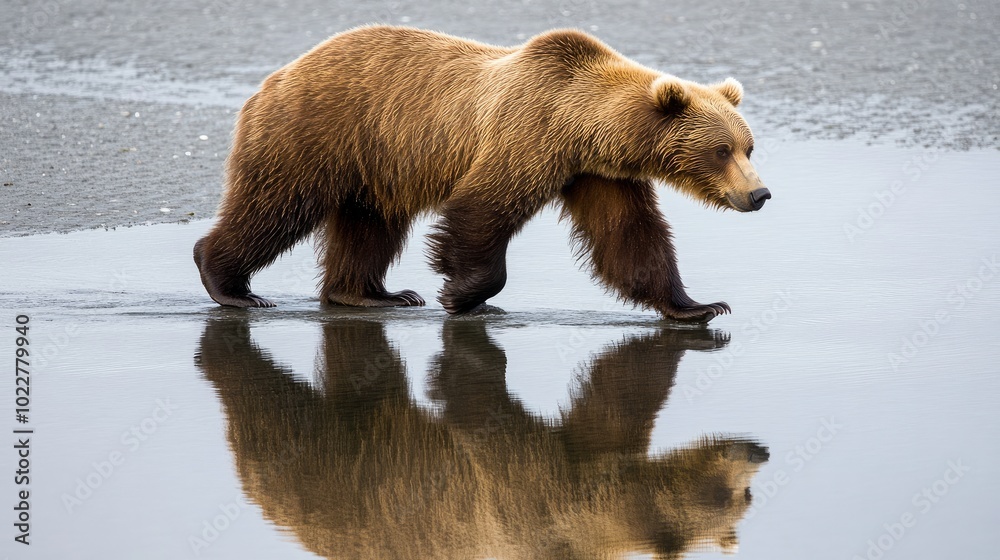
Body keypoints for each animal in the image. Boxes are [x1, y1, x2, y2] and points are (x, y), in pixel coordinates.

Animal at [193, 25, 770, 322]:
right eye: (721, 150)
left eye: (749, 145)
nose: (760, 193)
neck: (585, 127)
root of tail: (274, 77)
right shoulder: (529, 136)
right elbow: (481, 211)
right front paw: (462, 293)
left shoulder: (598, 176)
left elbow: (630, 238)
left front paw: (701, 306)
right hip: (316, 134)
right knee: (274, 208)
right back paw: (232, 284)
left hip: (373, 165)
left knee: (369, 225)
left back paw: (373, 294)